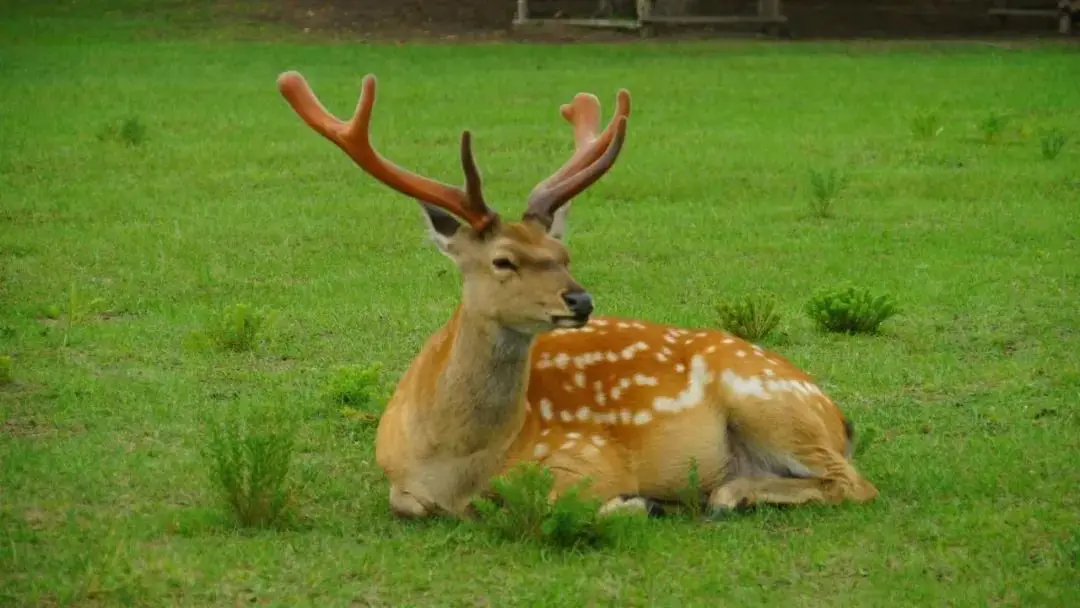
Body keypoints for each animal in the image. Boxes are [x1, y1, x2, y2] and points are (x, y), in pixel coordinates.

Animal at [276, 69, 876, 520]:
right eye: (503, 260)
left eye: (562, 254)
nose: (581, 301)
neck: (449, 462)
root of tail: (836, 413)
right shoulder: (399, 481)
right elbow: (409, 504)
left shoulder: (584, 457)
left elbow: (536, 503)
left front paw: (641, 503)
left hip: (768, 400)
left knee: (854, 482)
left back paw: (728, 494)